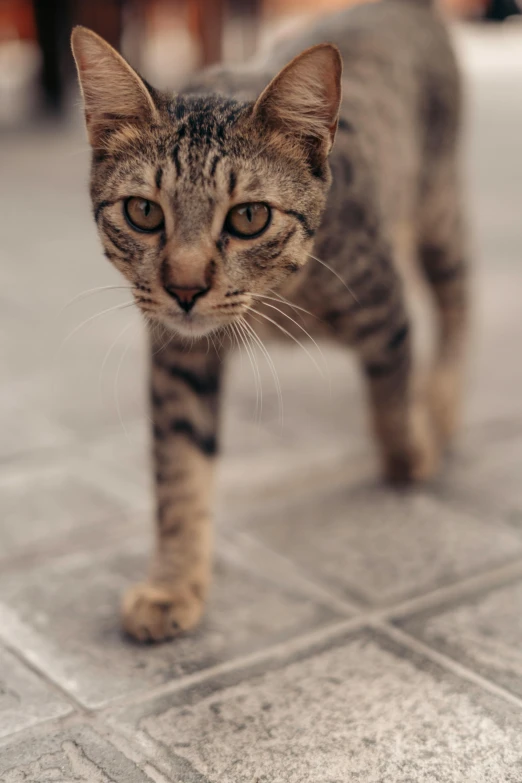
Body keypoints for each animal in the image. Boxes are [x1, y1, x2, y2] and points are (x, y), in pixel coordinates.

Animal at [71, 1, 466, 644]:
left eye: (250, 217)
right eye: (143, 211)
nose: (184, 289)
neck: (274, 299)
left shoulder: (384, 303)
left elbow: (391, 396)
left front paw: (410, 455)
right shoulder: (180, 356)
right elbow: (179, 473)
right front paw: (173, 584)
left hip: (439, 207)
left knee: (459, 302)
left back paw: (444, 402)